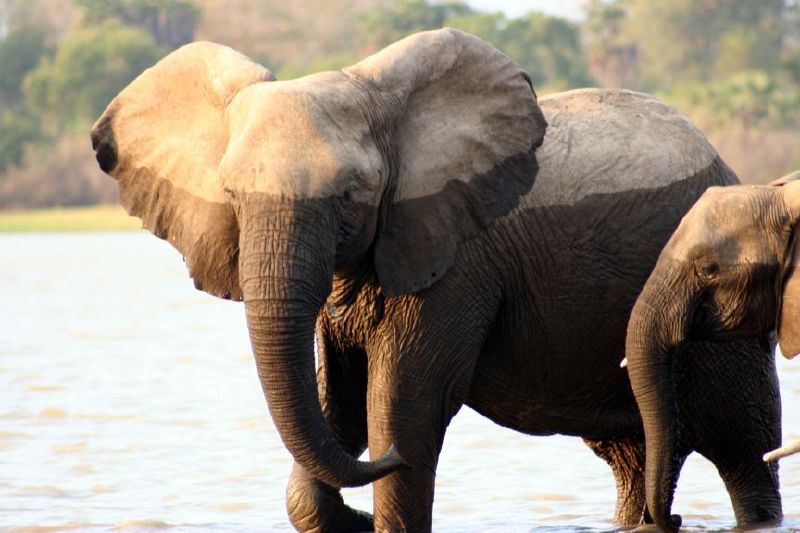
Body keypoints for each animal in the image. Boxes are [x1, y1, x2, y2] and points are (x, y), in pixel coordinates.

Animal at [89, 30, 780, 532]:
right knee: (633, 457)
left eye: (351, 196)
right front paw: (343, 508)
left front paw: (380, 486)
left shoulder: (456, 261)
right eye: (231, 196)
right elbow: (337, 401)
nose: (356, 511)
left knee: (745, 449)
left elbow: (402, 405)